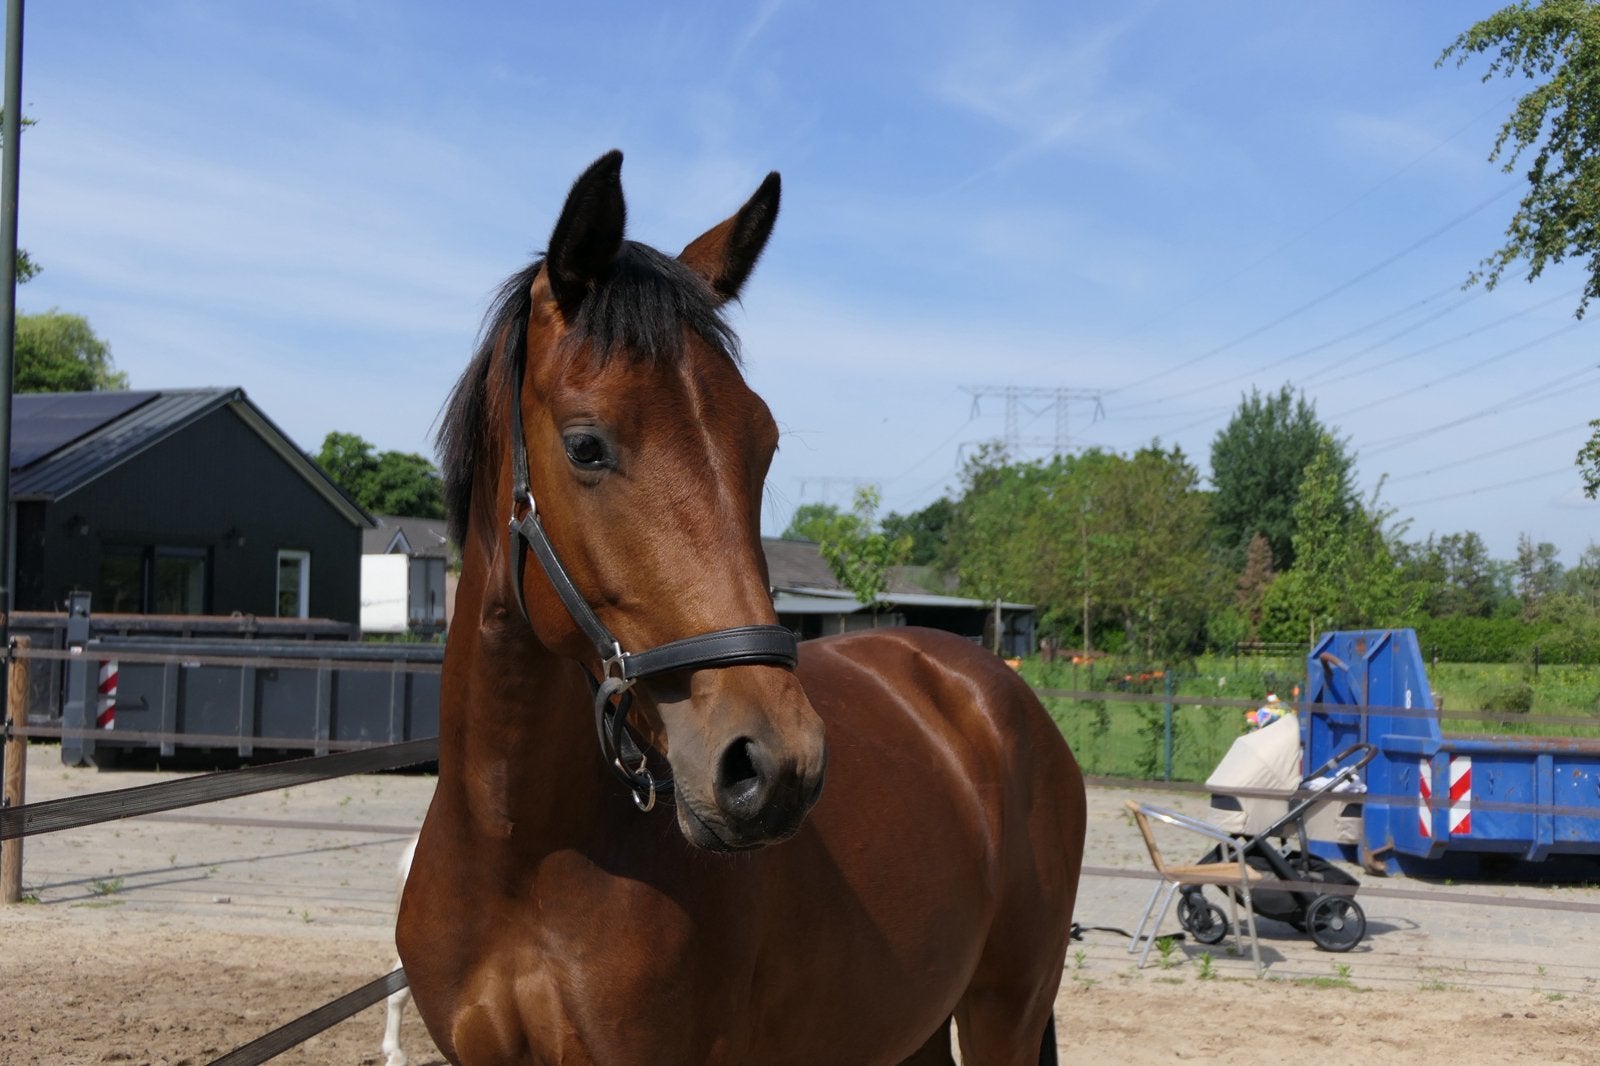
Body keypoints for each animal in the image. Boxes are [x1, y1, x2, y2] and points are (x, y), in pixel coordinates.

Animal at [396, 149, 1086, 1065]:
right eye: (586, 445)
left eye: (762, 444)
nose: (777, 764)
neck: (521, 854)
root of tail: (996, 692)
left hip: (1005, 1010)